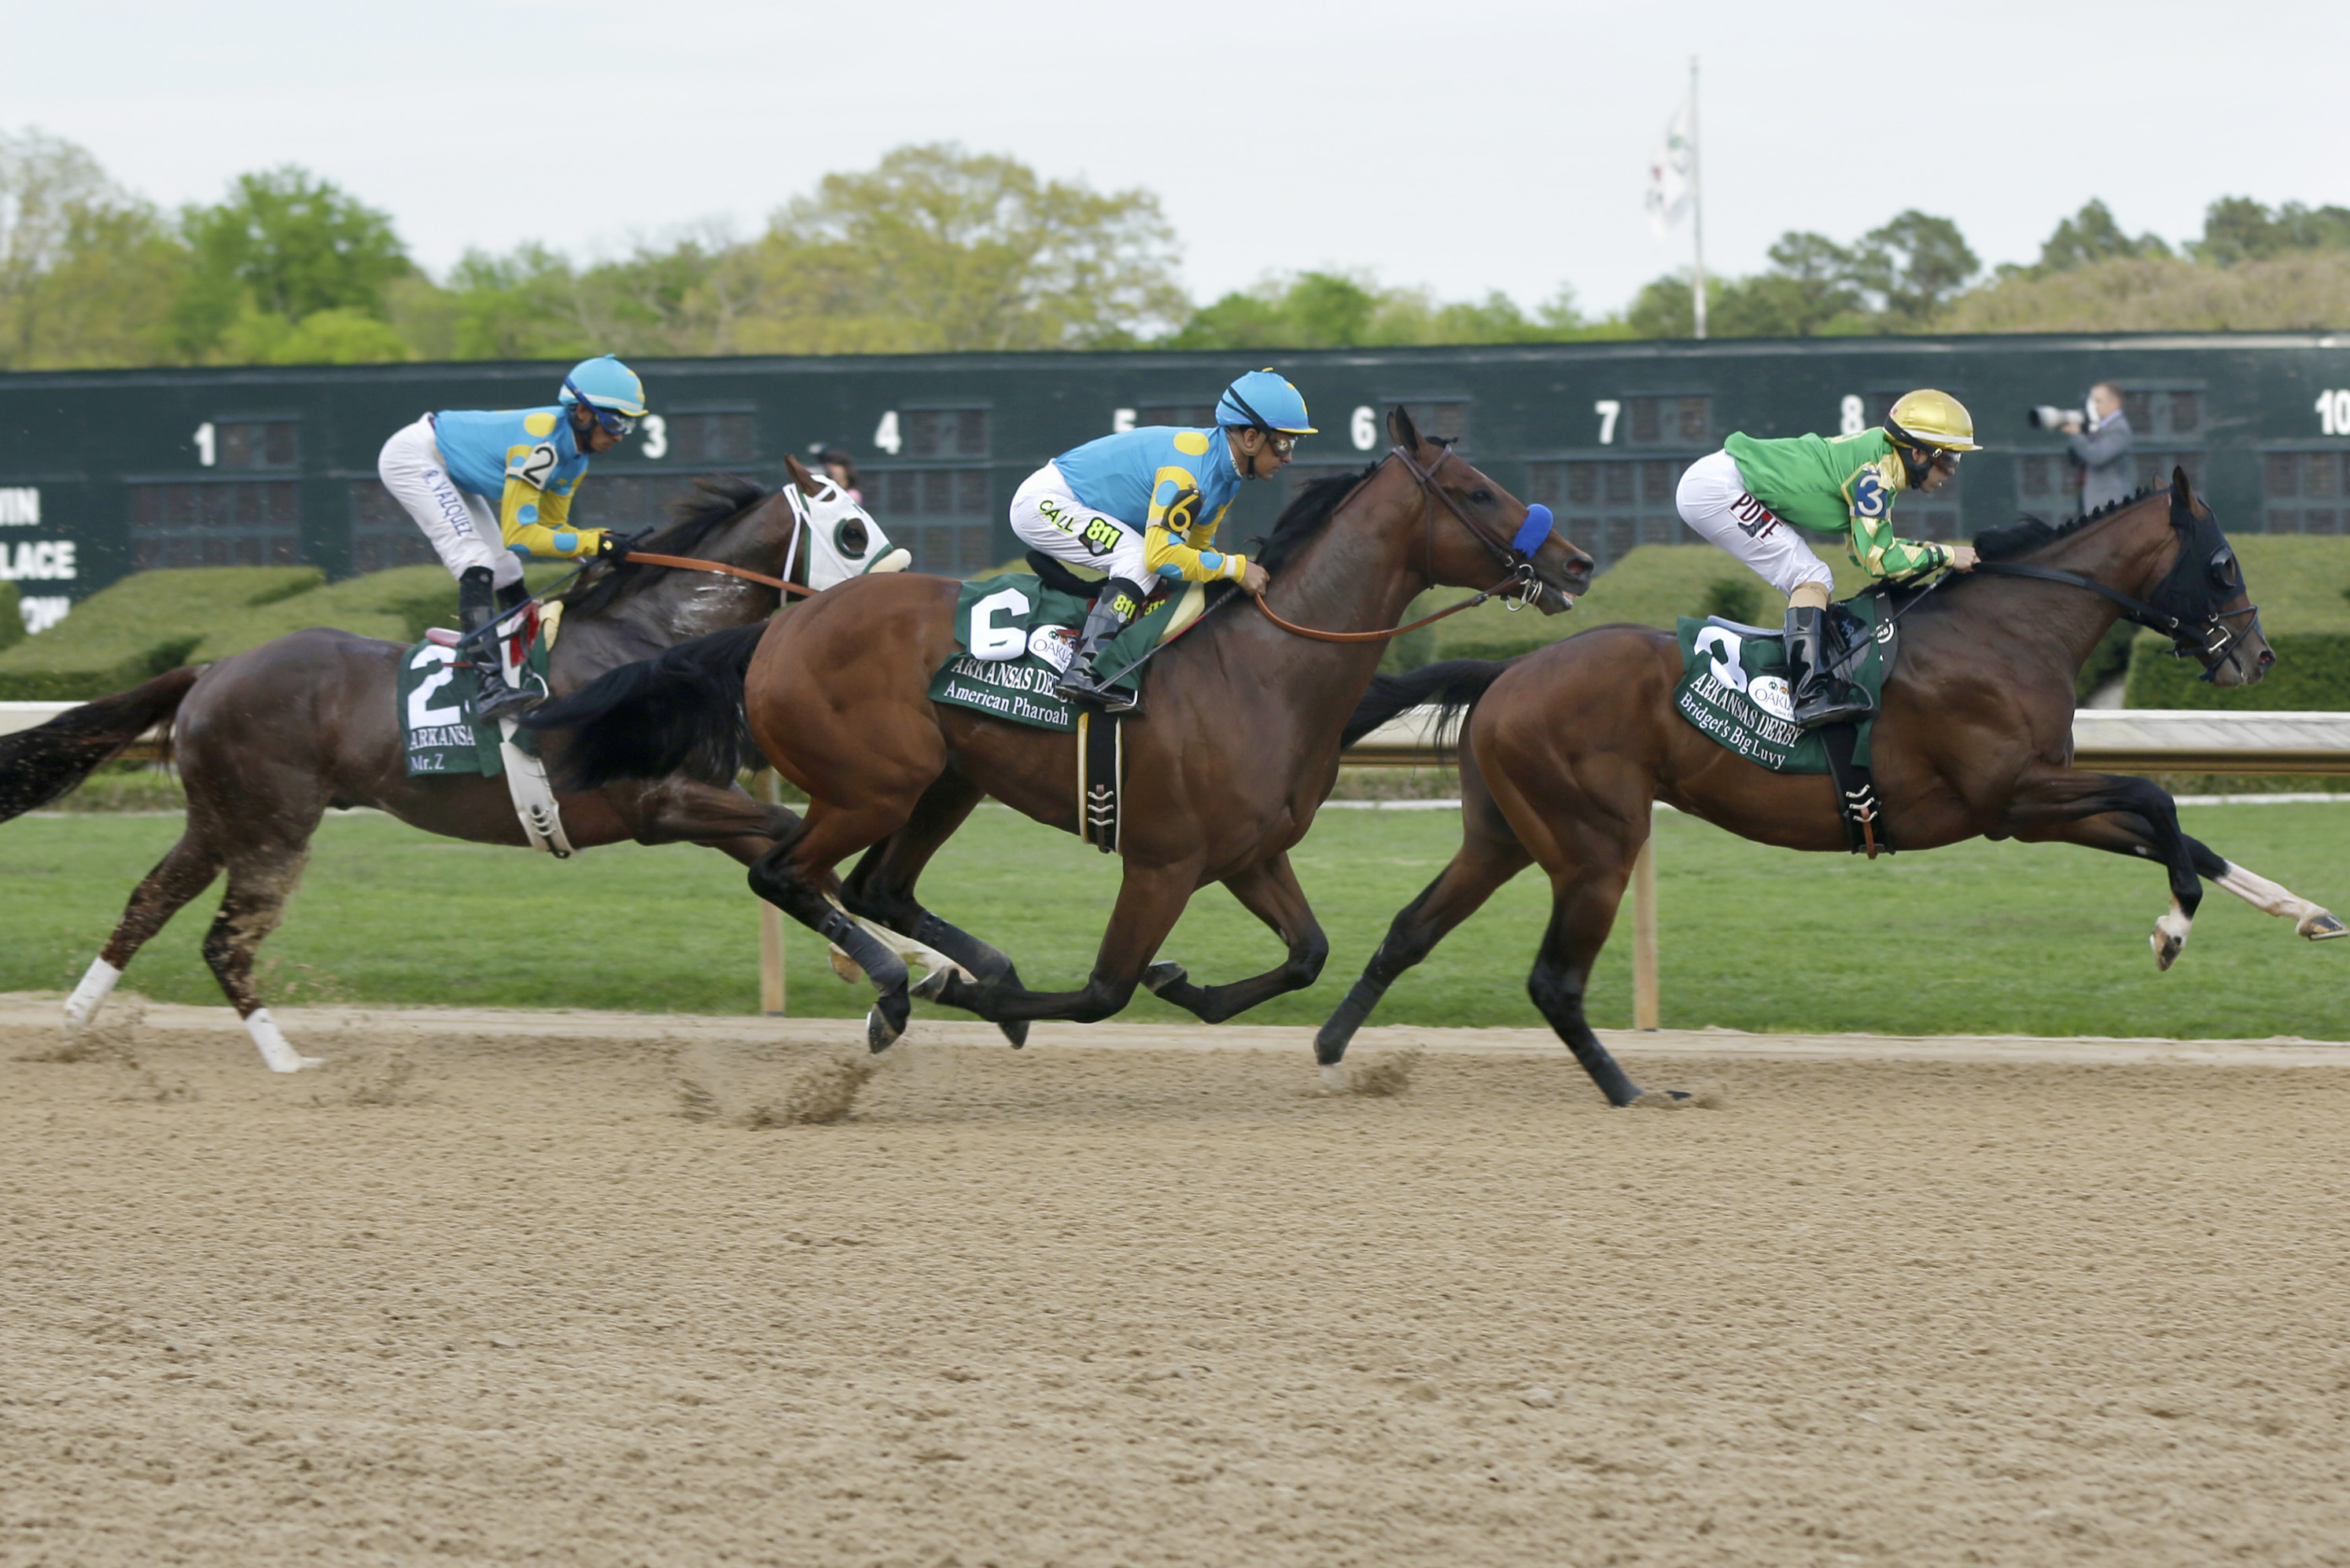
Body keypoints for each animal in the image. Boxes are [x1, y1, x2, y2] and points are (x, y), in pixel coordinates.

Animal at [0, 453, 897, 1067]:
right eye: (852, 530)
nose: (901, 589)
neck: (651, 644)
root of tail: (214, 666)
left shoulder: (699, 804)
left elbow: (794, 850)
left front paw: (897, 964)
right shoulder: (660, 804)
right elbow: (789, 831)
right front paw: (878, 967)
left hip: (221, 819)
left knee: (148, 902)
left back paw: (75, 1026)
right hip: (272, 828)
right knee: (225, 940)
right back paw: (288, 1061)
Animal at [533, 404, 1597, 1048]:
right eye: (1476, 490)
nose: (1579, 563)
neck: (1266, 670)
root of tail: (777, 626)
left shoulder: (1251, 851)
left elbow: (1307, 953)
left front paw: (1185, 987)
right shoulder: (1163, 860)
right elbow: (1103, 989)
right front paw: (992, 998)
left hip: (947, 779)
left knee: (876, 884)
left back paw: (946, 968)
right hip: (875, 781)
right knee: (787, 872)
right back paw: (900, 987)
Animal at [1325, 465, 2331, 1105]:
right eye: (2222, 564)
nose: (2258, 656)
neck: (2011, 627)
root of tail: (1507, 670)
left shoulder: (2030, 802)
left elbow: (2183, 832)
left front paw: (2305, 910)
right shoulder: (2013, 798)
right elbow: (2162, 802)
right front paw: (2172, 931)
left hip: (1504, 832)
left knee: (1410, 929)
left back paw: (1333, 1051)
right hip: (1595, 845)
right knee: (1553, 980)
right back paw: (1634, 1090)